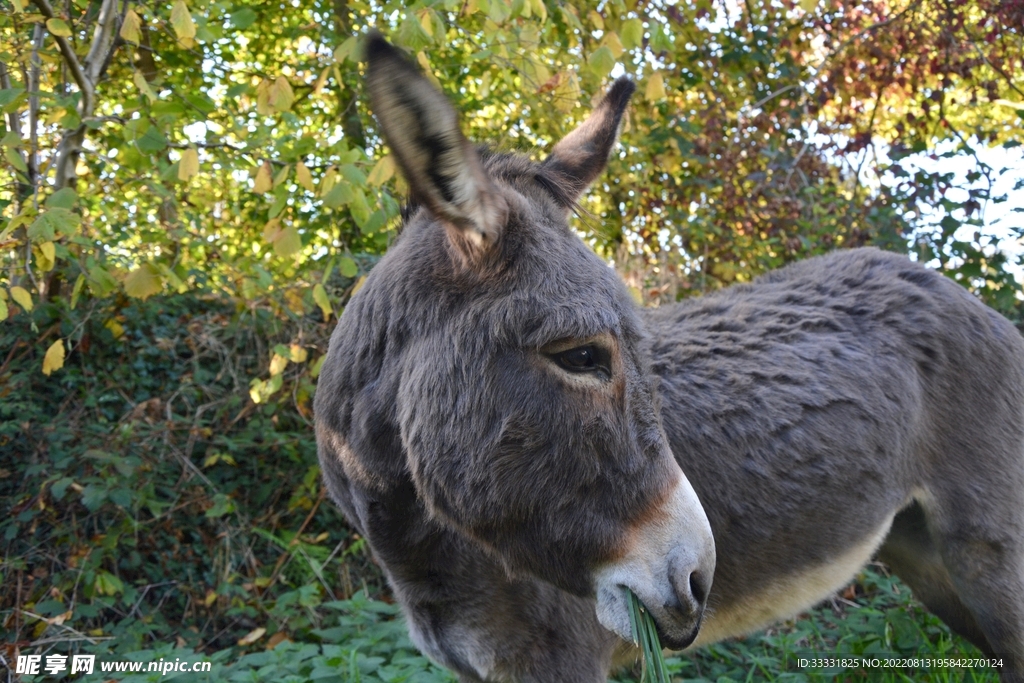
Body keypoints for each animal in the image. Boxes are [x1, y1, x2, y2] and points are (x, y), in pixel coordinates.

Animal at [314, 34, 1024, 682]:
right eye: (581, 356)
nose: (697, 582)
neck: (422, 557)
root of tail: (944, 287)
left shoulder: (557, 660)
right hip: (921, 554)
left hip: (993, 556)